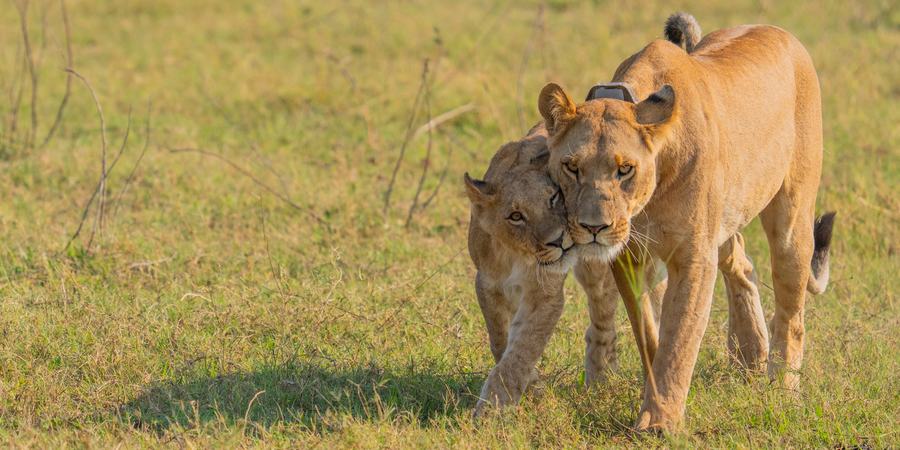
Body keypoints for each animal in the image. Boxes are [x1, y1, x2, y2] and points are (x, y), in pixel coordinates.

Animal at [537, 12, 835, 432]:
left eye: (625, 169)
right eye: (572, 167)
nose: (595, 228)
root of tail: (781, 32)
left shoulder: (693, 257)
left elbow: (679, 339)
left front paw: (659, 423)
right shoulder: (628, 258)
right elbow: (650, 335)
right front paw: (657, 397)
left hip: (791, 218)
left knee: (791, 309)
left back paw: (783, 390)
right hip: (726, 216)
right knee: (740, 261)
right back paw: (750, 354)